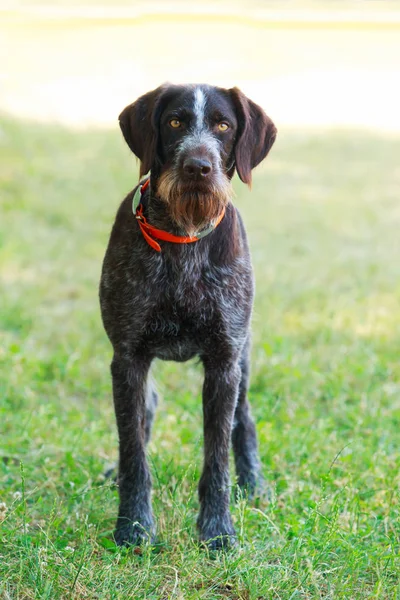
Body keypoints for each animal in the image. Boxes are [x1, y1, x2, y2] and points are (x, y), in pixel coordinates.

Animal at [98, 83, 276, 548]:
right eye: (175, 121)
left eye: (223, 125)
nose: (199, 166)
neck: (184, 236)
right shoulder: (127, 359)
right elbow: (134, 453)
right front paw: (133, 525)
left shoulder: (224, 362)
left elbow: (217, 459)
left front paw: (218, 531)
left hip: (243, 359)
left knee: (244, 419)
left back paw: (255, 484)